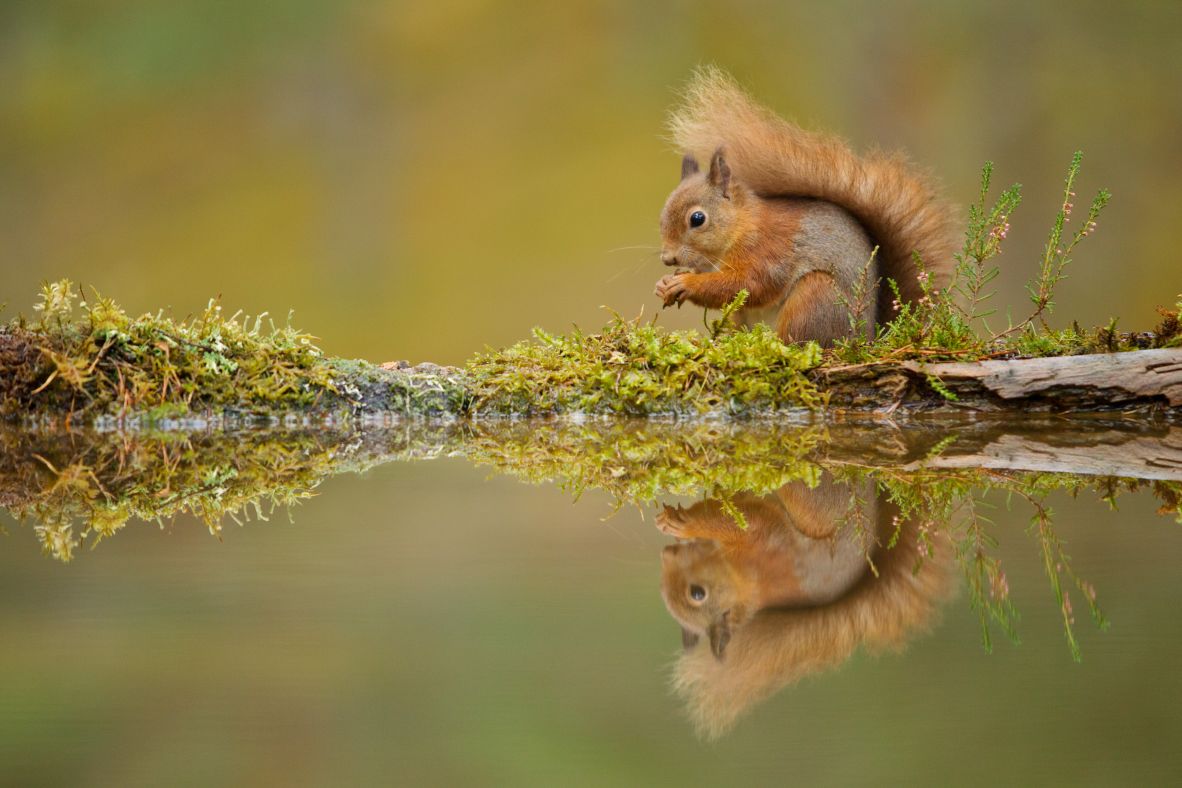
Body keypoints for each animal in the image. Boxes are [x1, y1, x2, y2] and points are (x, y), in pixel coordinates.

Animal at [654, 67, 960, 346]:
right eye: (661, 219)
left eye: (697, 219)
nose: (667, 259)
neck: (741, 226)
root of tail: (868, 337)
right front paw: (664, 284)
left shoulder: (769, 251)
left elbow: (748, 284)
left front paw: (685, 284)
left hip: (816, 298)